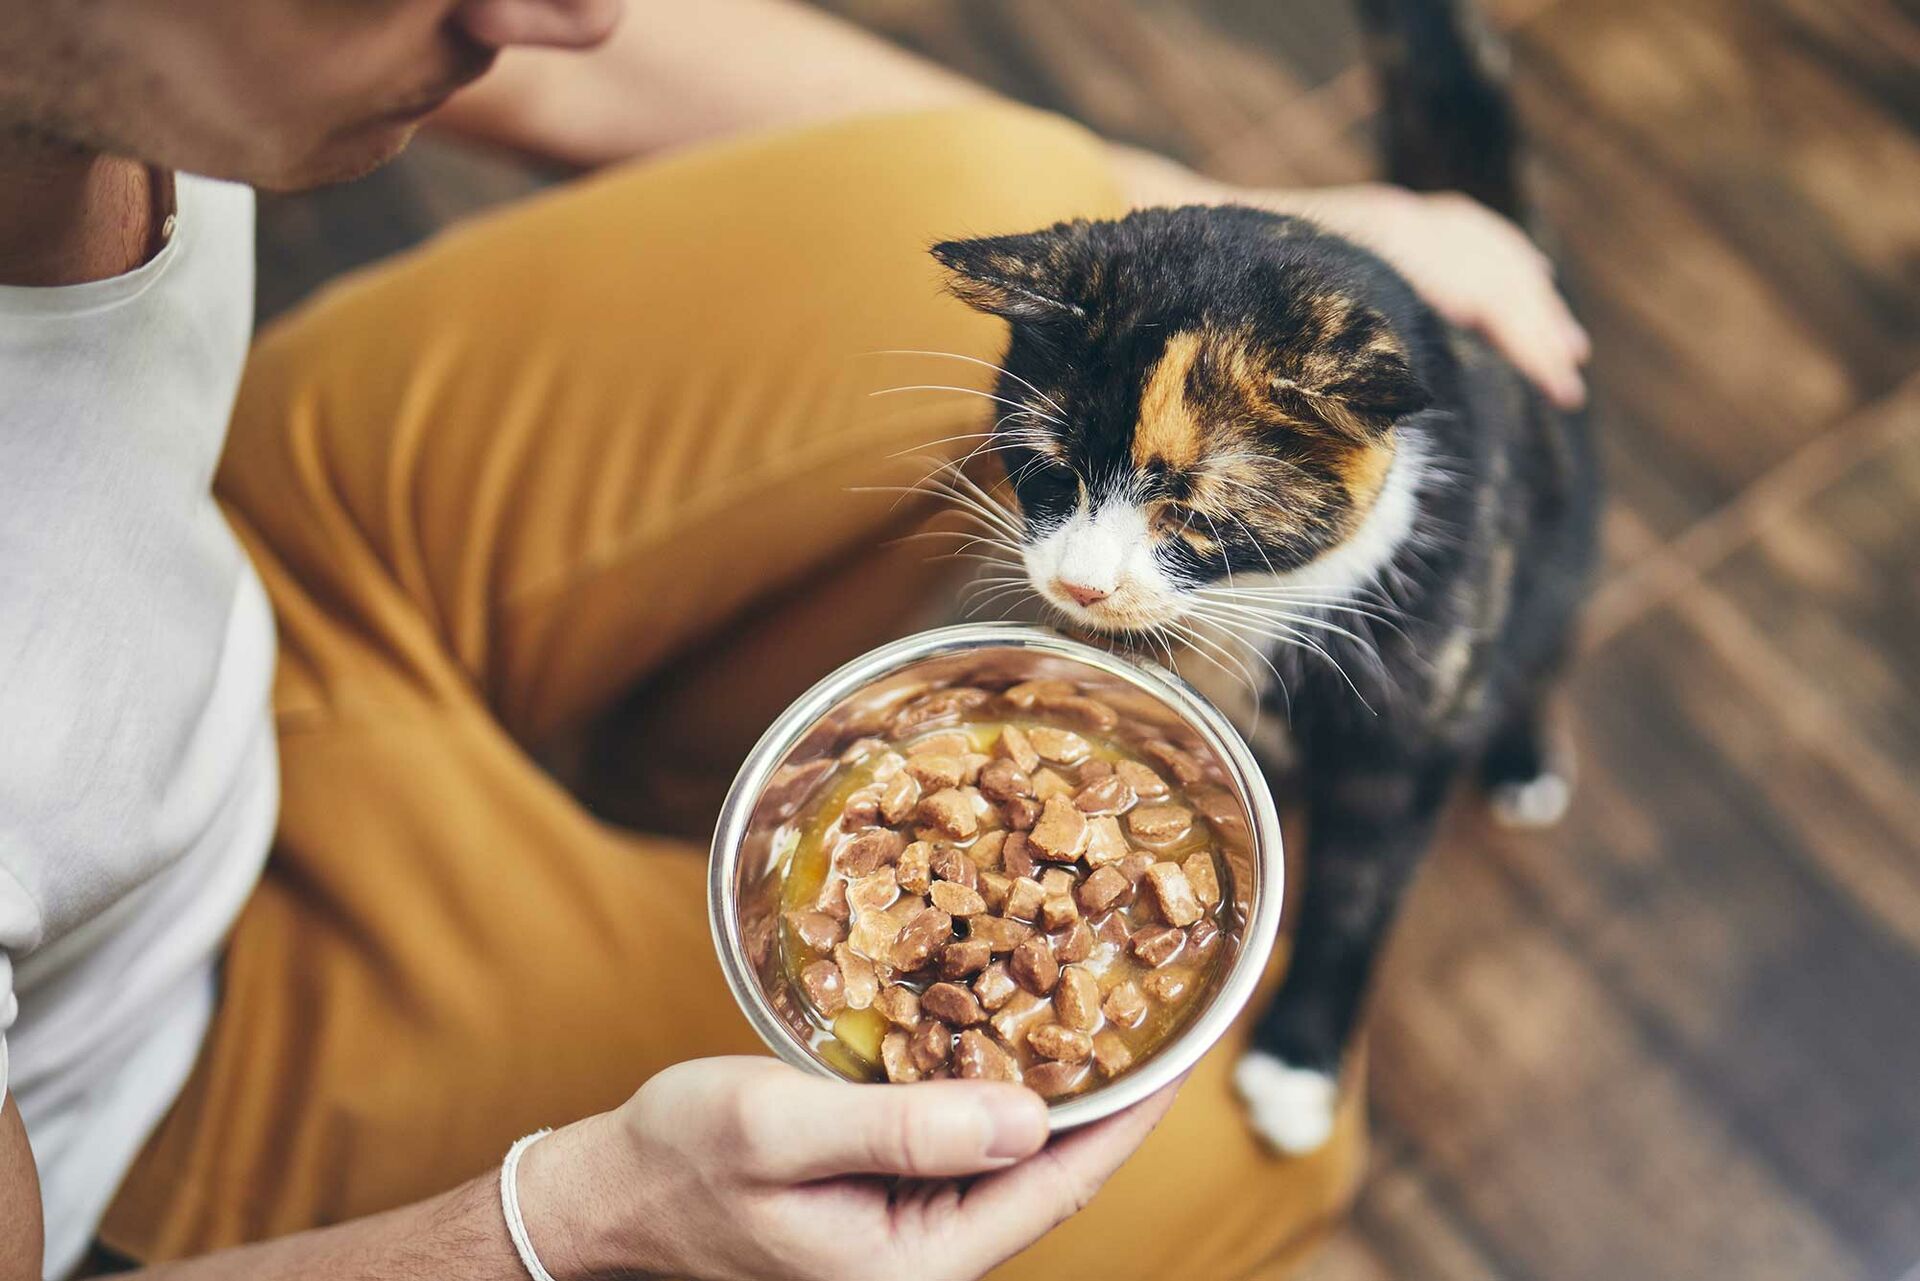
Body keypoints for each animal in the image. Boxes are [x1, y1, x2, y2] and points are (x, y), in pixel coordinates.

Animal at [921, 0, 1597, 1152]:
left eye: (1192, 514)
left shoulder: (1401, 731)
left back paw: (1521, 756)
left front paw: (1299, 1064)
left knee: (1545, 650)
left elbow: (1358, 890)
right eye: (1049, 470)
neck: (1248, 611)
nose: (1083, 588)